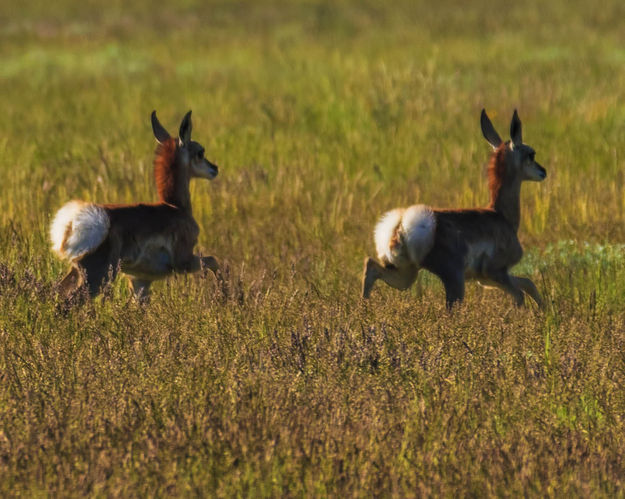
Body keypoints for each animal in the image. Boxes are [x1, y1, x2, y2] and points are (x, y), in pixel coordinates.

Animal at [51, 111, 222, 298]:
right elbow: (214, 260)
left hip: (77, 272)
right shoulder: (185, 261)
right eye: (200, 152)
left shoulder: (140, 281)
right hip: (98, 278)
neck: (175, 207)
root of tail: (73, 222)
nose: (215, 168)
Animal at [360, 110, 544, 308]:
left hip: (405, 274)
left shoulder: (486, 279)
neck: (500, 215)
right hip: (453, 279)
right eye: (531, 154)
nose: (544, 172)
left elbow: (528, 283)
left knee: (371, 266)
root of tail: (402, 225)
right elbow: (519, 294)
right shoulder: (495, 273)